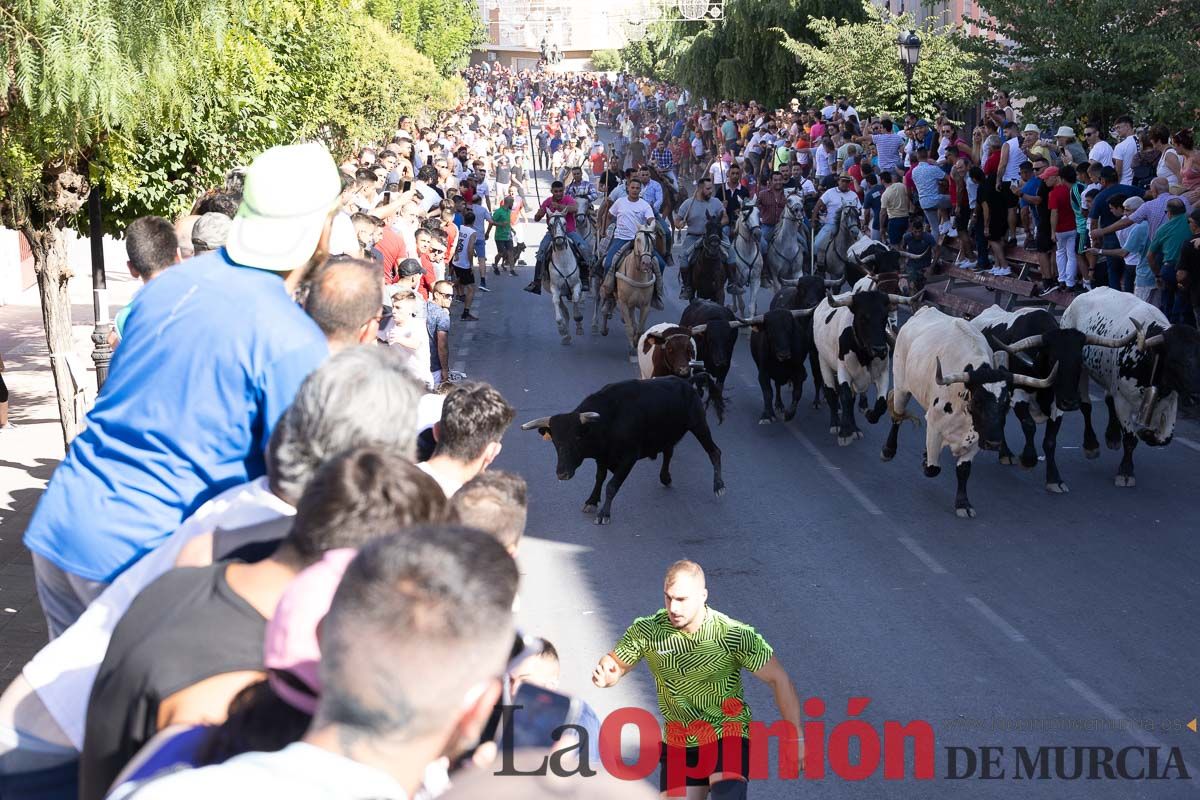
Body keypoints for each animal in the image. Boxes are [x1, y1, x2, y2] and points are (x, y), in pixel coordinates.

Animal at [547, 211, 583, 345]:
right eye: (550, 225)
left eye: (564, 223)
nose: (559, 241)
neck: (563, 262)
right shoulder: (555, 288)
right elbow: (556, 302)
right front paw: (561, 329)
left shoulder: (577, 284)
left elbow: (576, 298)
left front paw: (578, 319)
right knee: (565, 311)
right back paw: (566, 336)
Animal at [816, 284, 916, 448]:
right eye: (863, 318)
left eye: (884, 318)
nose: (879, 350)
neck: (864, 355)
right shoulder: (844, 370)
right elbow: (845, 397)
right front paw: (845, 432)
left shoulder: (883, 373)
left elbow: (881, 403)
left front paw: (869, 415)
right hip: (823, 361)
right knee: (831, 392)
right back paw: (836, 424)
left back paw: (855, 428)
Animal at [888, 307, 1056, 520]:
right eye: (977, 401)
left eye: (1007, 403)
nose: (994, 443)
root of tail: (925, 309)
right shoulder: (935, 425)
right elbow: (933, 468)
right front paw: (927, 461)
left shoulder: (977, 437)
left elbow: (964, 470)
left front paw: (963, 503)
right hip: (901, 385)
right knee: (897, 415)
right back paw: (888, 450)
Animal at [969, 304, 1128, 494]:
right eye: (1052, 359)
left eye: (1080, 360)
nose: (1071, 403)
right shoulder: (1018, 395)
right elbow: (1029, 426)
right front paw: (1028, 460)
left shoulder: (1057, 405)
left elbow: (1050, 441)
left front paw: (1054, 479)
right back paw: (1006, 454)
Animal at [1060, 287, 1200, 489]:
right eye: (1175, 360)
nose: (1197, 396)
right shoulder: (1123, 401)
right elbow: (1130, 439)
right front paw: (1125, 472)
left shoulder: (1171, 399)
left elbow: (1165, 437)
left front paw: (1146, 433)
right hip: (1082, 370)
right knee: (1086, 406)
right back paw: (1091, 445)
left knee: (1107, 399)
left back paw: (1112, 437)